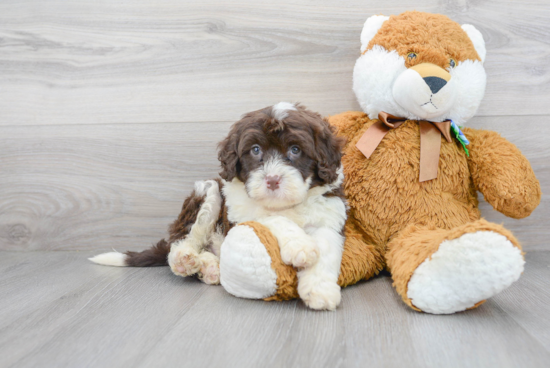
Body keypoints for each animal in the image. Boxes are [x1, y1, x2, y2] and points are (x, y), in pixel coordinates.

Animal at [90, 103, 350, 310]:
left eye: (295, 150)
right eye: (255, 150)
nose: (273, 180)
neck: (283, 205)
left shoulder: (329, 215)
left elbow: (326, 249)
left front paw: (320, 290)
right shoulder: (240, 212)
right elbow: (270, 218)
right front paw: (299, 245)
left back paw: (210, 268)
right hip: (209, 191)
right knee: (181, 241)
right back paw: (185, 258)